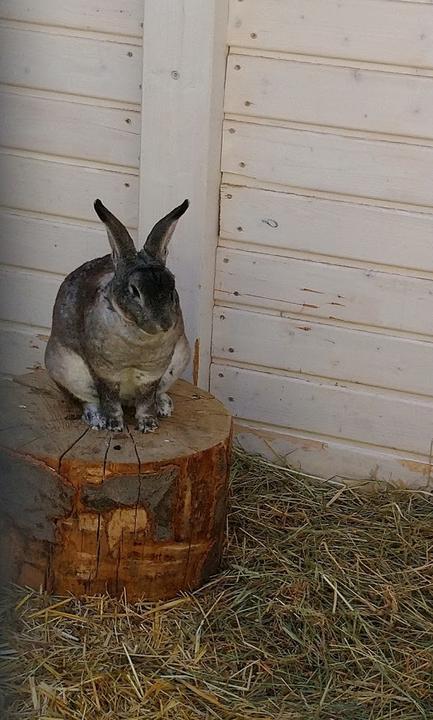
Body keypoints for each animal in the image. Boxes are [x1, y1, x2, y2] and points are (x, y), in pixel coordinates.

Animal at [44, 197, 191, 434]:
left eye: (172, 288)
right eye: (134, 291)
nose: (164, 323)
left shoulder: (152, 374)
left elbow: (146, 399)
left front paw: (148, 424)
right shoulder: (105, 372)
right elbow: (110, 398)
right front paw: (114, 425)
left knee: (156, 394)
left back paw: (164, 406)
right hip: (64, 369)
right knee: (88, 400)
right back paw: (97, 419)